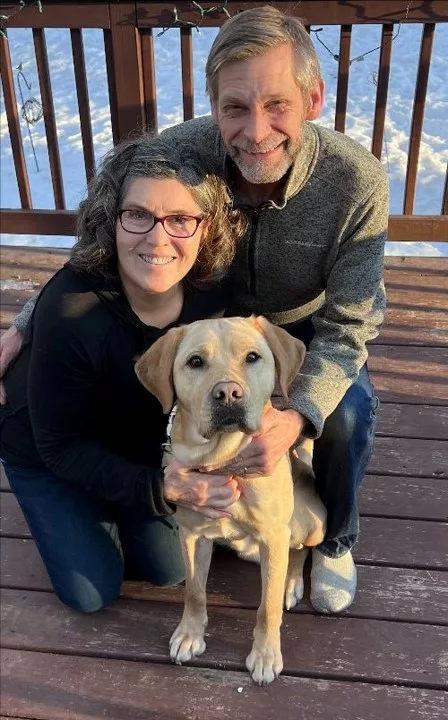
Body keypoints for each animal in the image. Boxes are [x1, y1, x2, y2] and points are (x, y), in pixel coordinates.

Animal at [136, 316, 326, 688]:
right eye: (195, 362)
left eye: (252, 357)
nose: (227, 393)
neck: (223, 460)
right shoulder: (192, 536)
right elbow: (194, 591)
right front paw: (190, 635)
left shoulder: (273, 537)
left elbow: (267, 608)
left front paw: (265, 655)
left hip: (309, 525)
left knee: (299, 551)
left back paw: (291, 583)